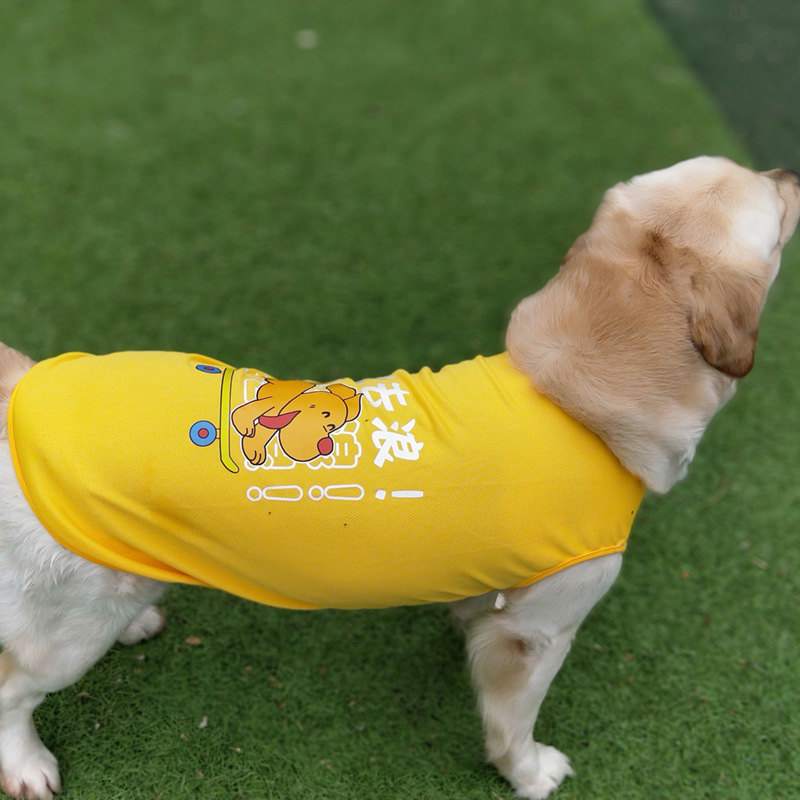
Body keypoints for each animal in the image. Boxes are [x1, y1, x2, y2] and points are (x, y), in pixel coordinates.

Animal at [0, 156, 797, 799]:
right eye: (776, 205)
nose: (790, 170)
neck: (572, 401)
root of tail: (24, 388)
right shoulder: (539, 632)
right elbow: (512, 723)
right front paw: (529, 773)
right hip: (65, 636)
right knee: (12, 687)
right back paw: (27, 763)